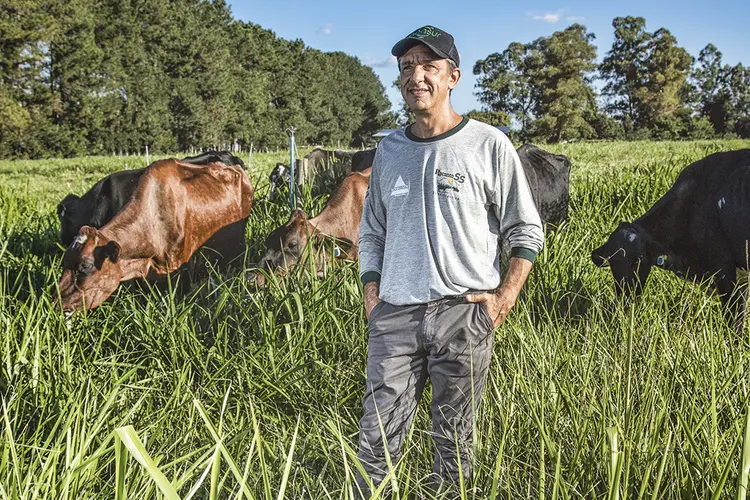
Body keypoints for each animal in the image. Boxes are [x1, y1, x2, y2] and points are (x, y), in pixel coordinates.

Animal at [592, 148, 750, 332]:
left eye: (639, 260)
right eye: (612, 261)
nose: (626, 297)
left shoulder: (723, 269)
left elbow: (733, 320)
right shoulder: (741, 278)